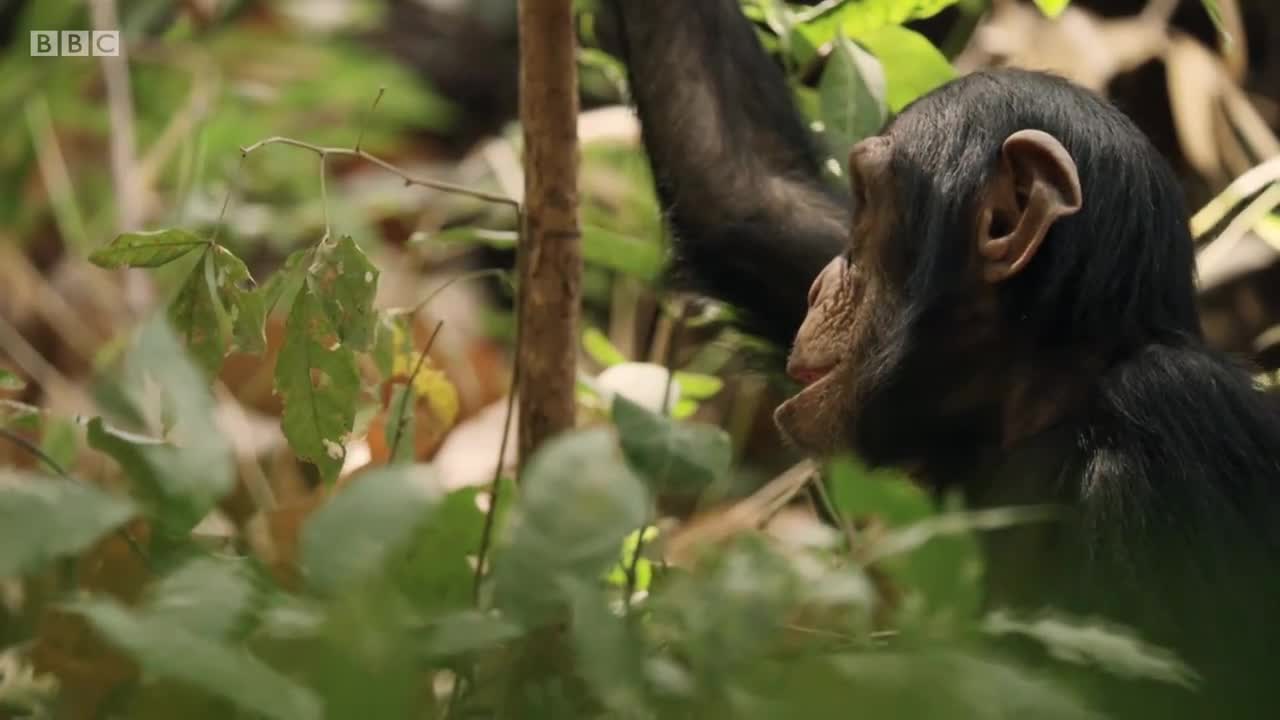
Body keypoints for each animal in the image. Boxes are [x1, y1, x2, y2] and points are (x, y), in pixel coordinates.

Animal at [606, 0, 1280, 712]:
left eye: (868, 207)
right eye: (850, 213)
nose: (821, 284)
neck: (1044, 397)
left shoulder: (1177, 412)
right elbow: (742, 187)